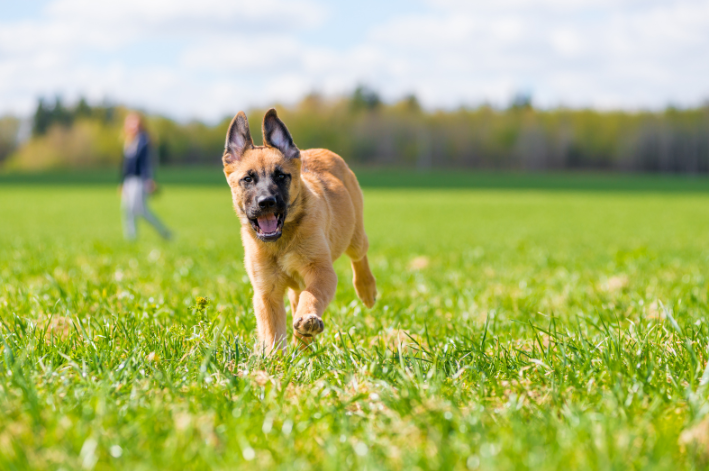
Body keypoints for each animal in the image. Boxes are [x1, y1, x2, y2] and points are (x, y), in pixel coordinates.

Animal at [221, 109, 376, 352]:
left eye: (281, 176)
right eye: (247, 179)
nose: (267, 202)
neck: (282, 241)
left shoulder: (320, 271)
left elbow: (311, 296)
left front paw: (309, 320)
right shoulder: (266, 292)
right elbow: (272, 332)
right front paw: (276, 358)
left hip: (354, 235)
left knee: (359, 255)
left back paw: (366, 290)